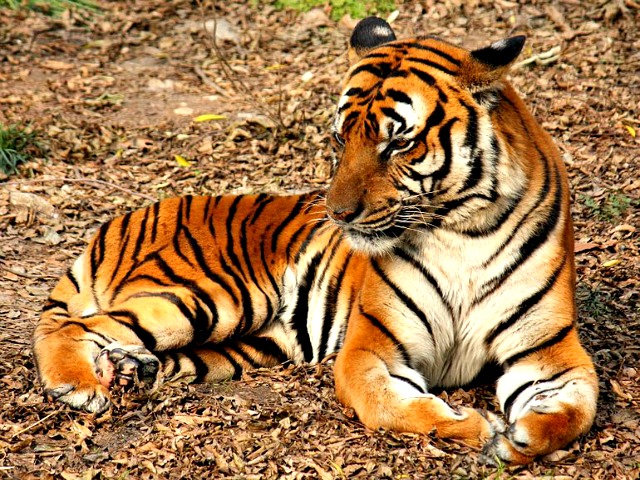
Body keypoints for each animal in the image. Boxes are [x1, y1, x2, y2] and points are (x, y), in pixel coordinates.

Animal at [32, 16, 596, 464]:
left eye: (398, 142)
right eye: (341, 137)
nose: (338, 214)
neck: (461, 230)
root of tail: (125, 218)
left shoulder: (549, 351)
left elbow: (577, 409)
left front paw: (520, 438)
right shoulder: (372, 347)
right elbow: (392, 403)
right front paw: (477, 427)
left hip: (253, 342)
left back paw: (131, 369)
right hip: (211, 295)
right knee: (73, 325)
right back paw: (78, 386)